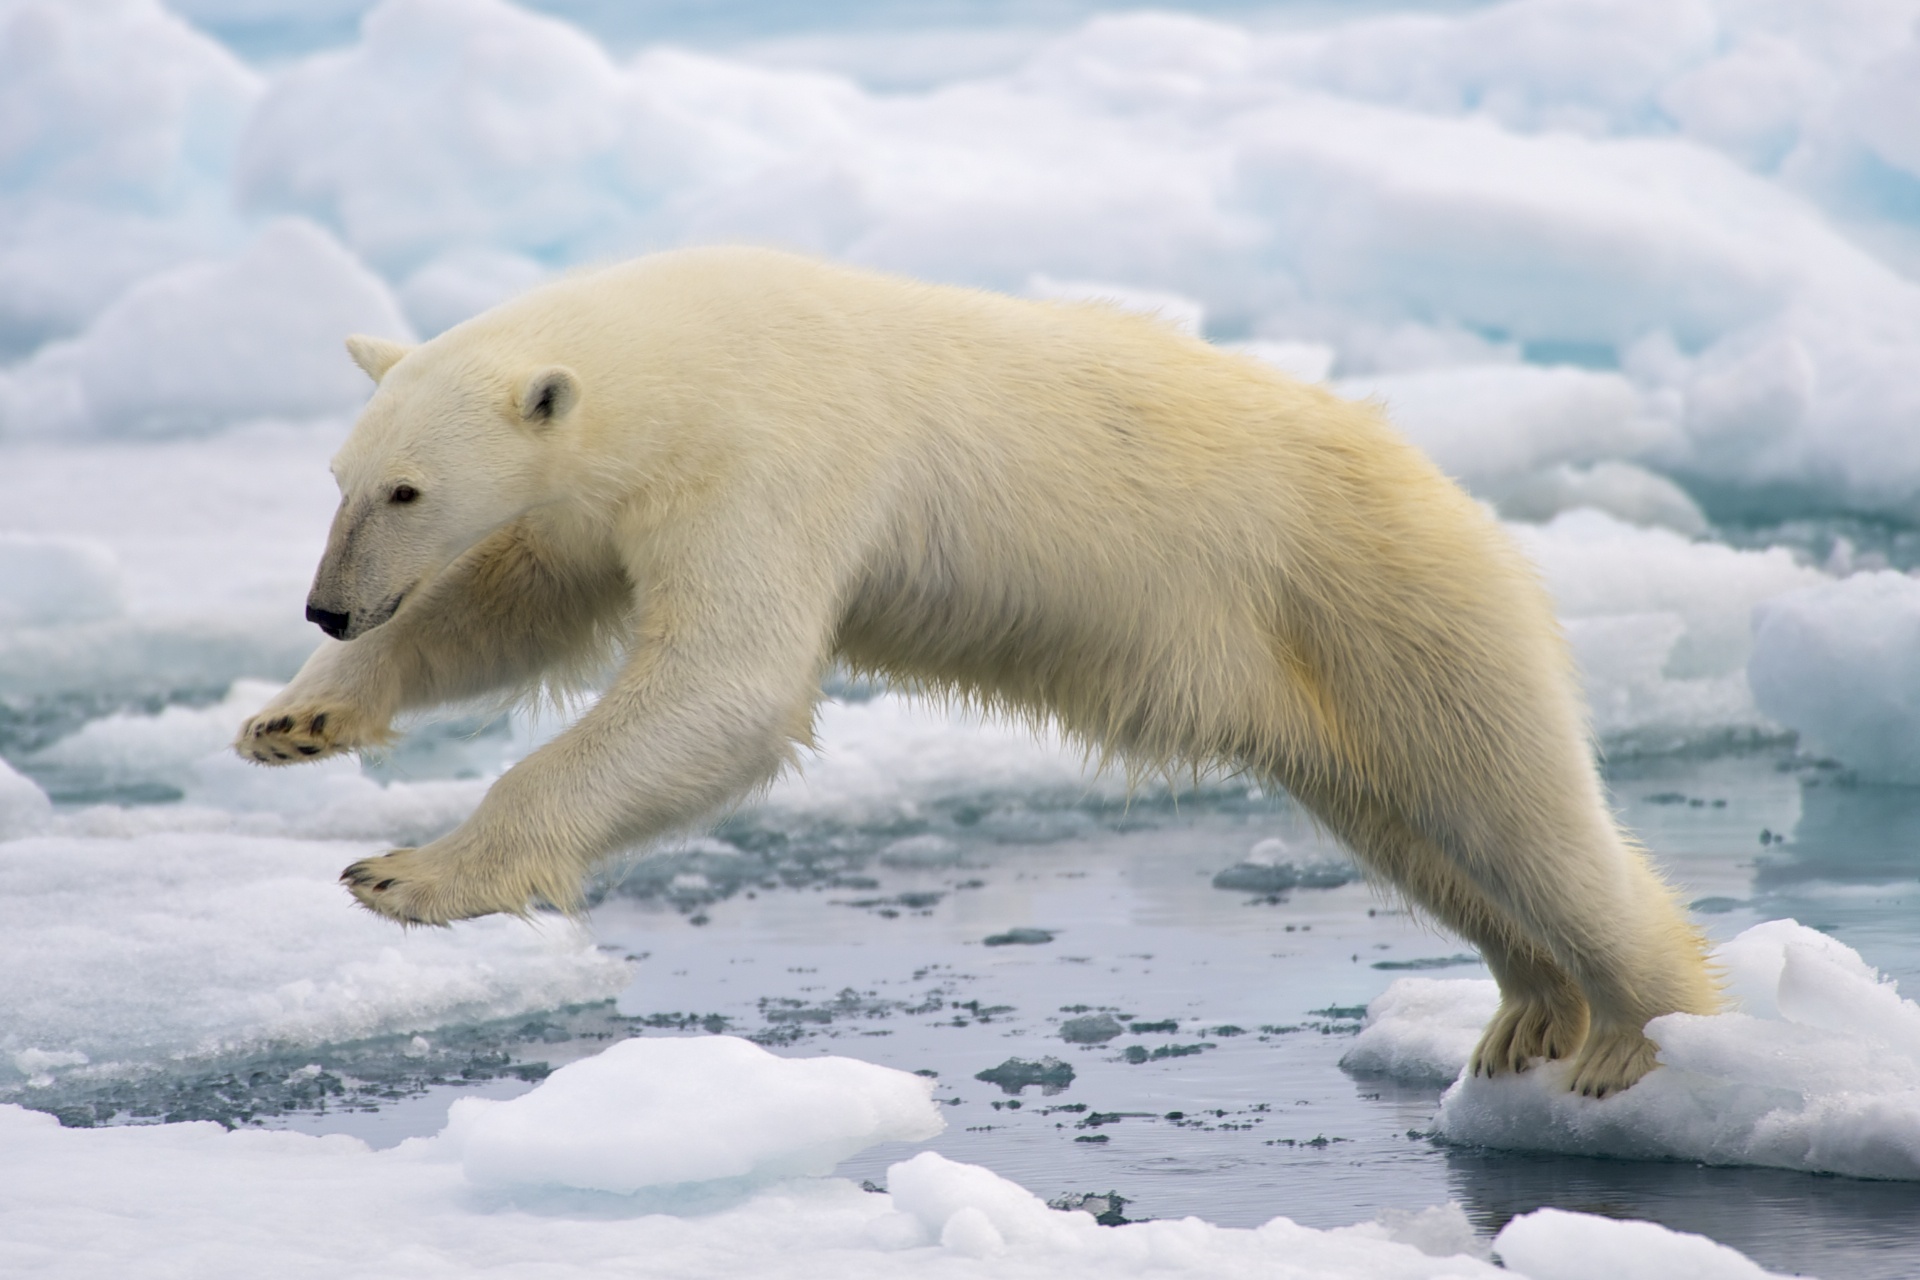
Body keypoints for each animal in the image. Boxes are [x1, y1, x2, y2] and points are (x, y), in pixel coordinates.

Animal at [240, 245, 1728, 1097]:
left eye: (408, 488)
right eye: (341, 477)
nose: (326, 603)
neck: (686, 353)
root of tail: (1463, 503)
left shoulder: (777, 456)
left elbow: (725, 684)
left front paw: (408, 873)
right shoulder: (612, 498)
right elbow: (518, 603)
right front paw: (298, 718)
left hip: (1391, 606)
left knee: (1519, 813)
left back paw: (1636, 1034)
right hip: (1330, 682)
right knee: (1422, 834)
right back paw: (1527, 1012)